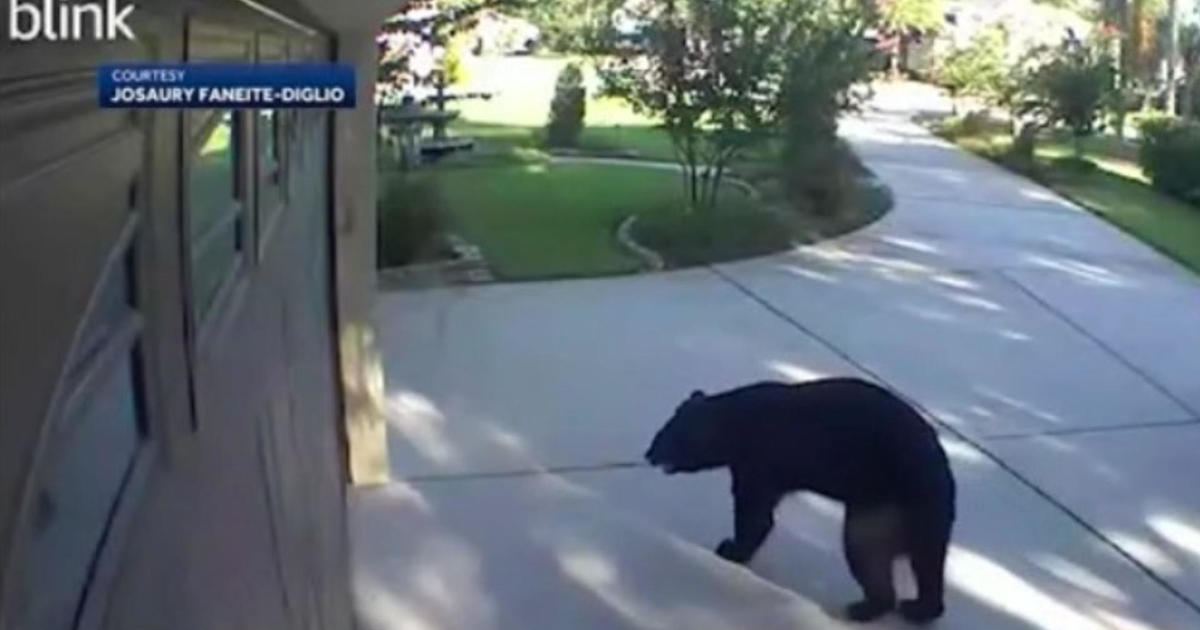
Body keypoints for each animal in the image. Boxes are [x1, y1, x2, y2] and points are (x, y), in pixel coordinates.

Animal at [643, 376, 960, 619]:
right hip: (921, 518)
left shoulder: (761, 458)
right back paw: (919, 608)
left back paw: (865, 607)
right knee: (927, 562)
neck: (735, 422)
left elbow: (754, 511)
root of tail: (942, 481)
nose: (649, 454)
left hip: (886, 503)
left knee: (866, 549)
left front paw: (730, 548)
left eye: (667, 436)